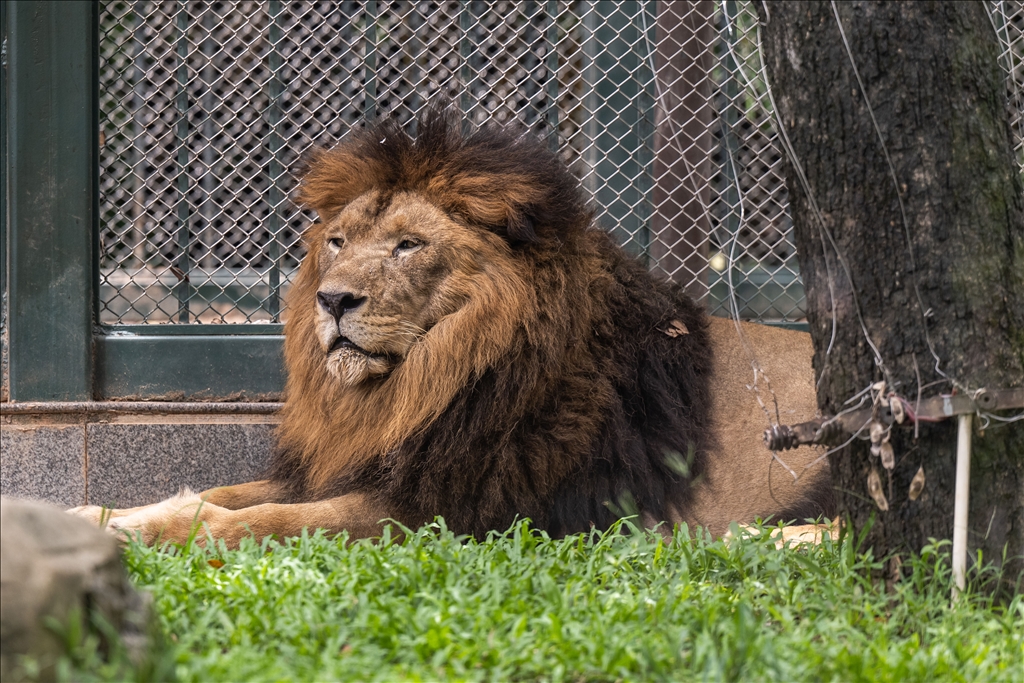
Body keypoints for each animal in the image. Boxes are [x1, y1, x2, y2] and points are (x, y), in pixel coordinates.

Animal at [70, 107, 831, 548]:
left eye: (408, 244)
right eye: (338, 241)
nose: (333, 300)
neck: (421, 384)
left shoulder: (450, 511)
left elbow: (257, 520)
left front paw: (158, 532)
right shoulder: (363, 464)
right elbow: (218, 494)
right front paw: (101, 516)